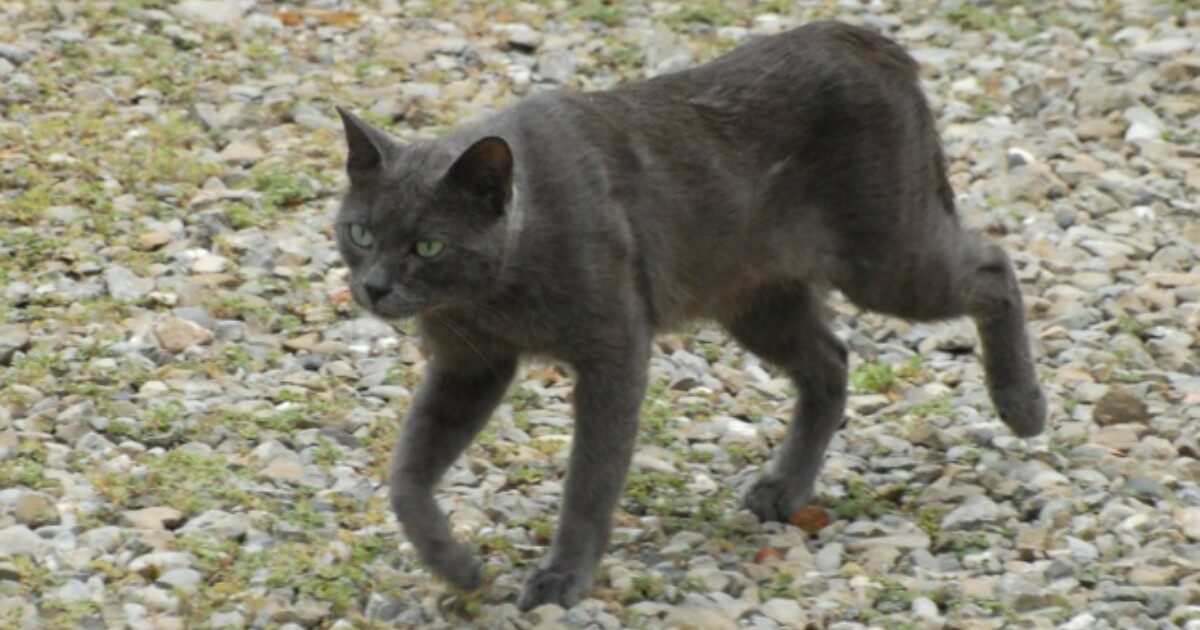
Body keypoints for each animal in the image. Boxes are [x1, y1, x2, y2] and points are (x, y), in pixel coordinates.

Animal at [333, 20, 1046, 609]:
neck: (493, 297)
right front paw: (456, 567)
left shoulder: (615, 349)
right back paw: (783, 489)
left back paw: (1022, 408)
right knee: (832, 361)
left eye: (427, 246)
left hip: (885, 258)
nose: (373, 287)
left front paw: (562, 578)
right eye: (361, 232)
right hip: (756, 297)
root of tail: (866, 38)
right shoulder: (469, 365)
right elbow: (407, 473)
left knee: (993, 266)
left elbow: (591, 476)